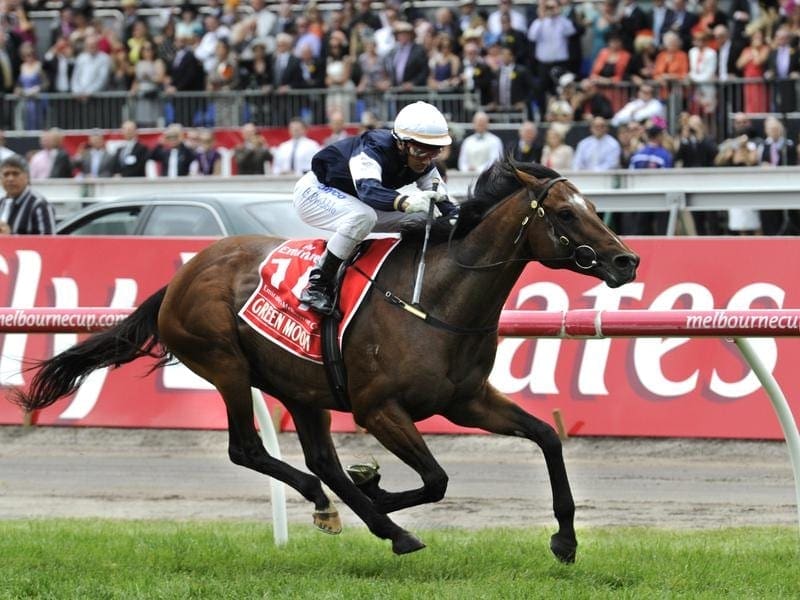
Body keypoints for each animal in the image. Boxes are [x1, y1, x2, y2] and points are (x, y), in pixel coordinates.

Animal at [12, 158, 636, 556]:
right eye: (566, 215)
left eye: (594, 206)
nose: (626, 262)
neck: (435, 297)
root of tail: (184, 274)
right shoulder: (377, 408)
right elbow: (435, 479)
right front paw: (380, 491)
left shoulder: (467, 400)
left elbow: (547, 437)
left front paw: (565, 539)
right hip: (225, 364)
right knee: (248, 449)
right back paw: (360, 516)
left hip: (300, 384)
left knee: (321, 461)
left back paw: (354, 513)